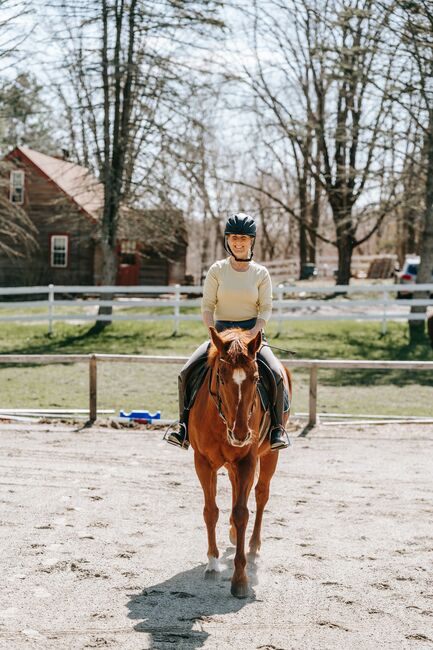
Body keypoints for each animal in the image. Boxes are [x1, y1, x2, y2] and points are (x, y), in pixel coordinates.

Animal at [188, 326, 292, 596]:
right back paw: (235, 537)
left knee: (261, 495)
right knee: (236, 490)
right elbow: (211, 511)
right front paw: (212, 564)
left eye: (255, 379)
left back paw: (253, 549)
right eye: (221, 378)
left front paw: (240, 579)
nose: (241, 434)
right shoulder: (203, 462)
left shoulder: (248, 460)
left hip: (269, 456)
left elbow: (242, 512)